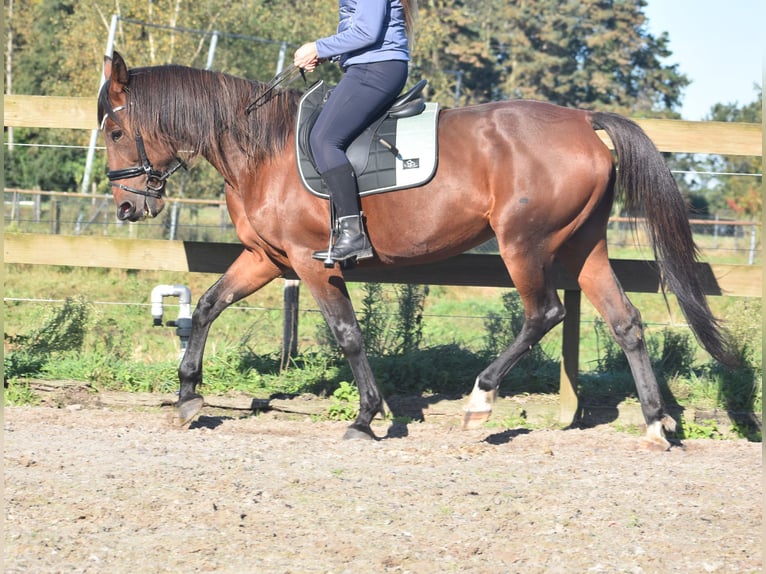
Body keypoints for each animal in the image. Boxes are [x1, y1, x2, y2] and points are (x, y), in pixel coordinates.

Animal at [97, 51, 736, 452]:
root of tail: (583, 122)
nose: (127, 207)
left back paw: (480, 402)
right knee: (626, 322)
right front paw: (187, 396)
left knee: (545, 313)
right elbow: (206, 307)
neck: (264, 149)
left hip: (523, 244)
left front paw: (366, 417)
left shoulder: (309, 262)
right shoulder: (265, 259)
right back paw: (654, 424)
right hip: (584, 246)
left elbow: (348, 335)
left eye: (115, 131)